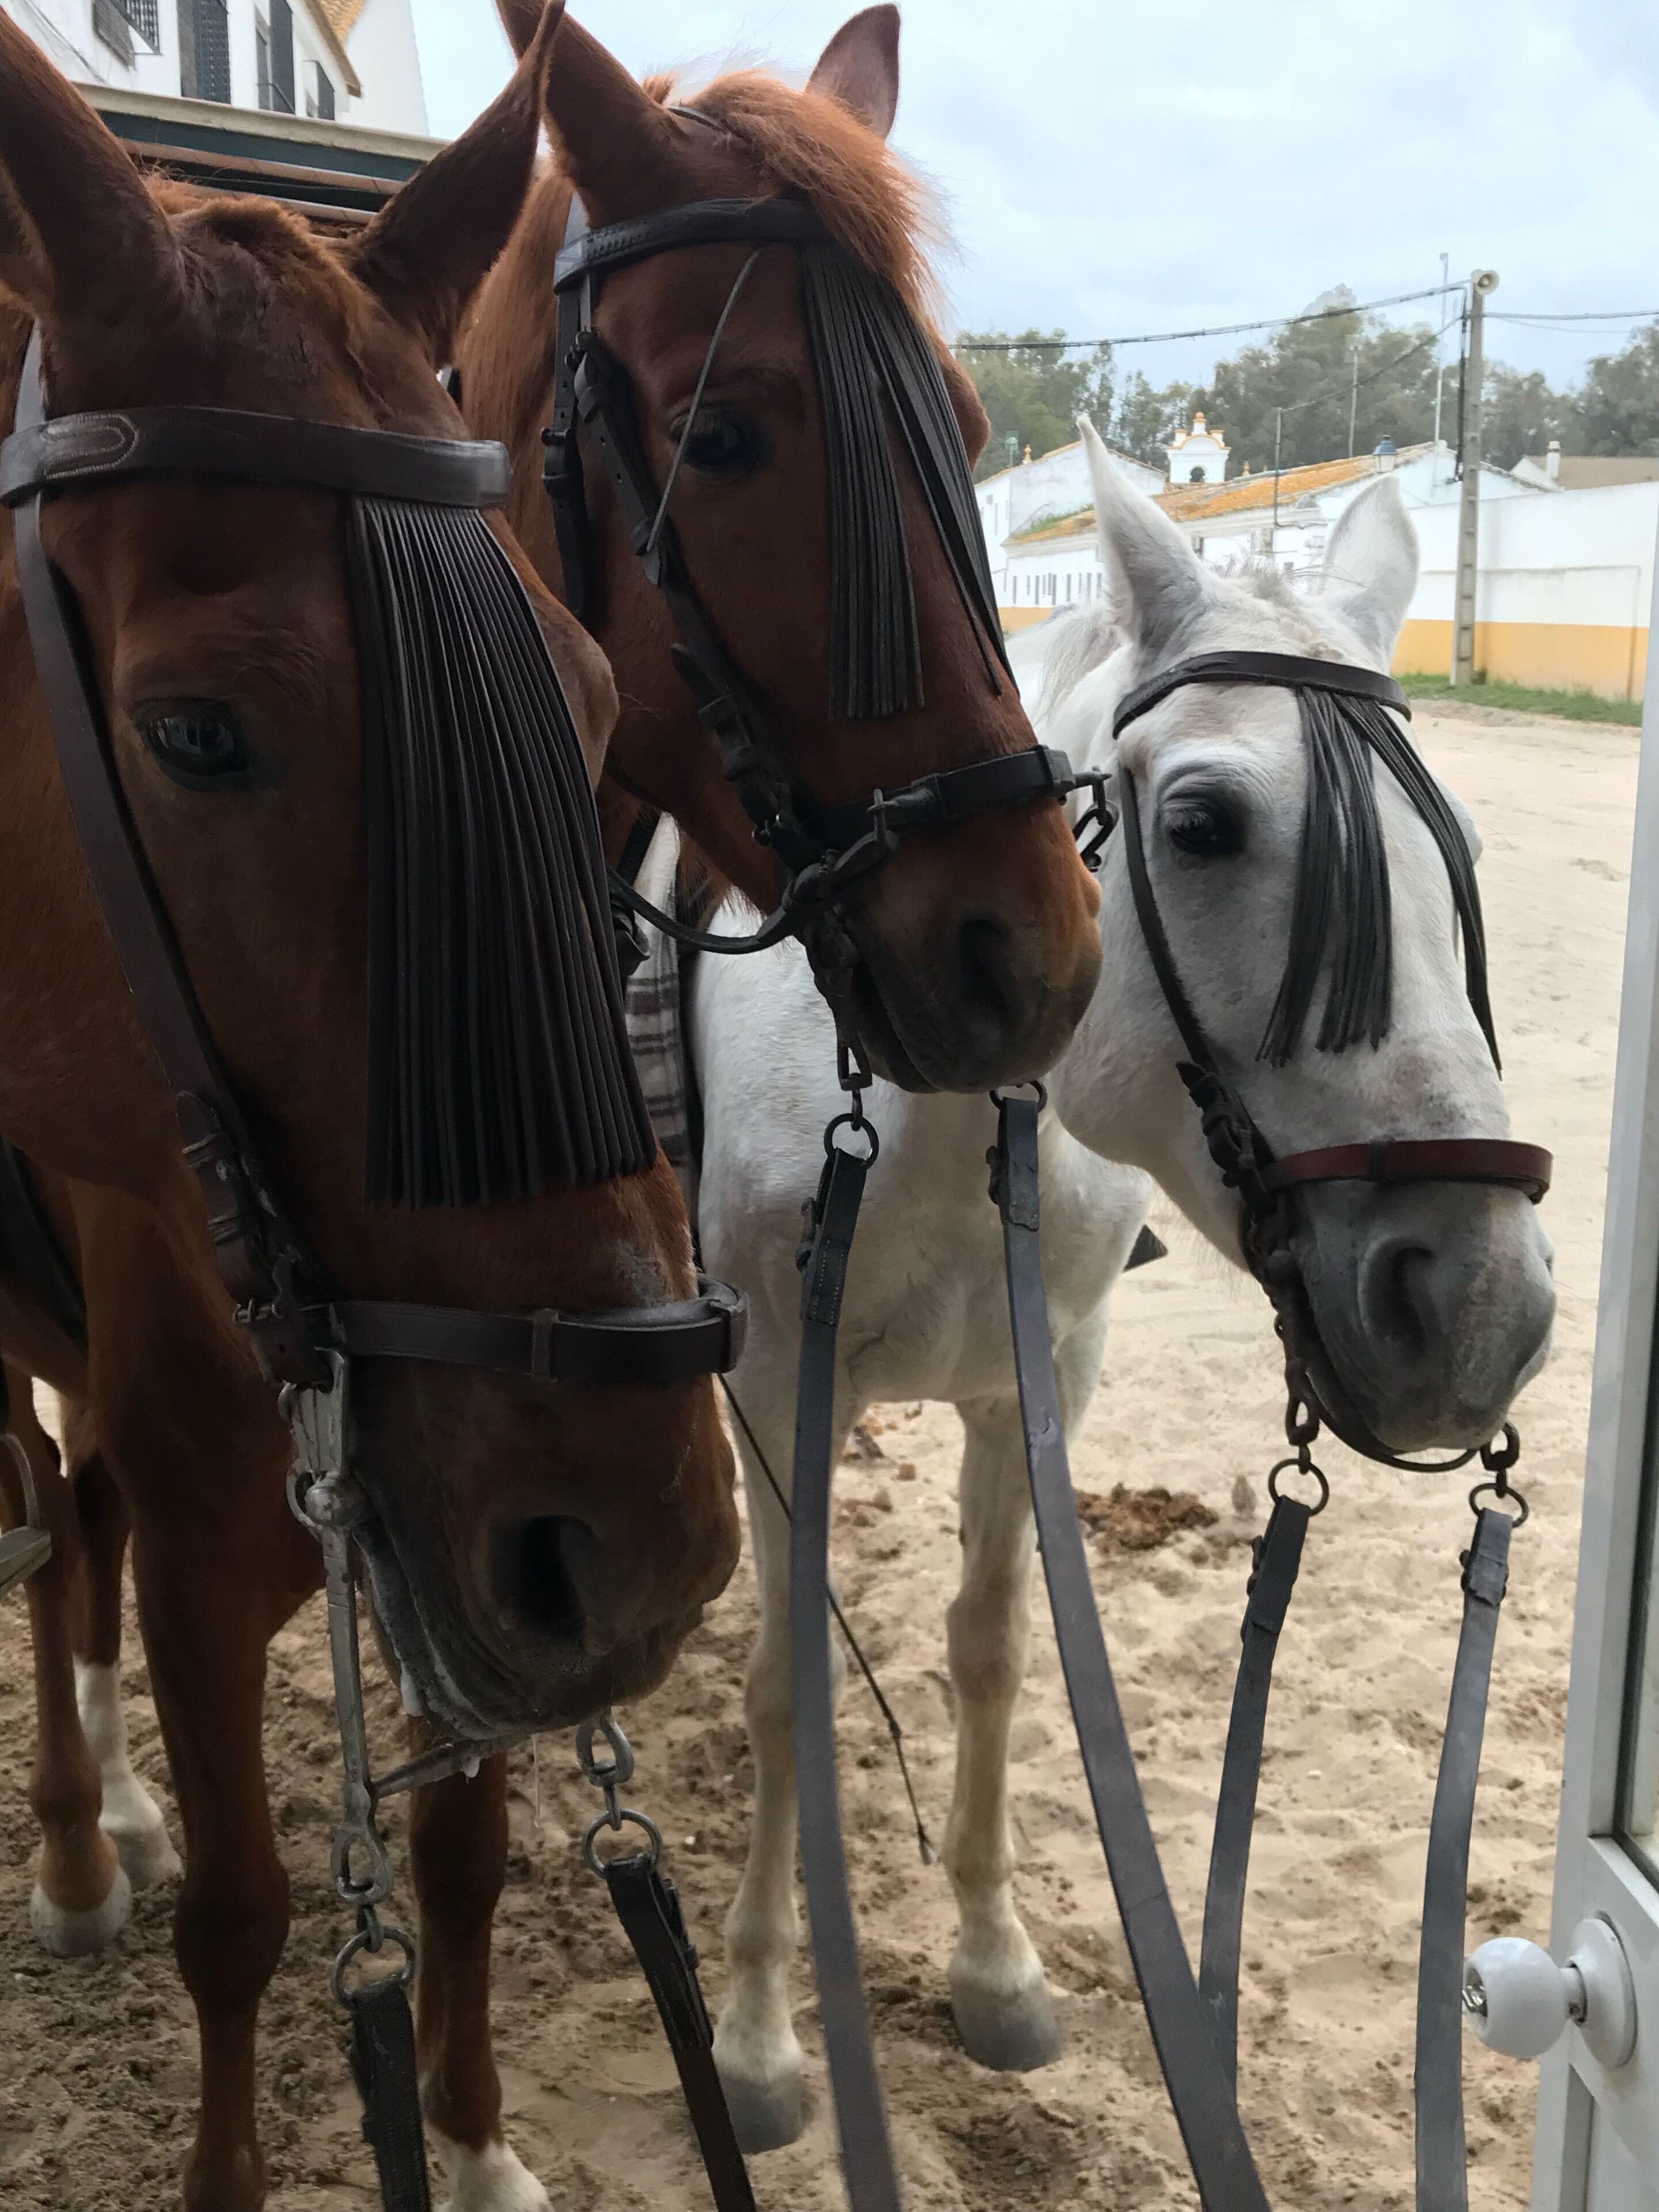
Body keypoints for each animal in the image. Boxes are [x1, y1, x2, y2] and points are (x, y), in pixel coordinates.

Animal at [0, 13, 741, 2209]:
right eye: (197, 732)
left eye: (595, 700)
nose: (652, 1543)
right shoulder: (210, 1546)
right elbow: (248, 1914)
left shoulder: (455, 1551)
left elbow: (468, 1843)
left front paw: (478, 2144)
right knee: (49, 1532)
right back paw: (82, 1832)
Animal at [689, 433, 1558, 2151]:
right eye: (1206, 824)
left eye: (1461, 860)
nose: (1478, 1301)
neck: (929, 1113)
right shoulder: (771, 1389)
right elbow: (782, 1681)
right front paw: (753, 2037)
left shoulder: (1039, 1374)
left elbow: (992, 1649)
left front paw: (992, 1961)